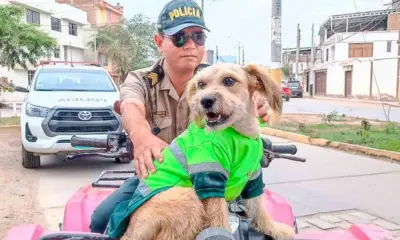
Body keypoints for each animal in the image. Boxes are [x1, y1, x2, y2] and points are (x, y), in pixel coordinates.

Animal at [116, 63, 294, 240]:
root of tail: (130, 230)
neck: (238, 133)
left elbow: (258, 207)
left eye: (229, 80)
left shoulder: (252, 175)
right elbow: (219, 218)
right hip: (187, 199)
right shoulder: (211, 175)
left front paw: (275, 229)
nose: (205, 101)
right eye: (201, 84)